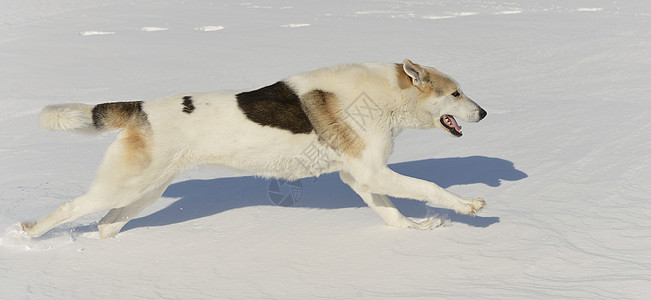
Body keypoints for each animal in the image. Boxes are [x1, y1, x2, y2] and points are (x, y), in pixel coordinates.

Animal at [20, 59, 486, 239]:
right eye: (455, 93)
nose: (483, 112)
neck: (386, 95)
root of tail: (140, 109)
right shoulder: (372, 173)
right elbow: (430, 188)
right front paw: (469, 206)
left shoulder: (359, 176)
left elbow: (392, 213)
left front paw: (418, 230)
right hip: (123, 186)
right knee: (71, 210)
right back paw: (28, 236)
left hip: (145, 191)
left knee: (106, 224)